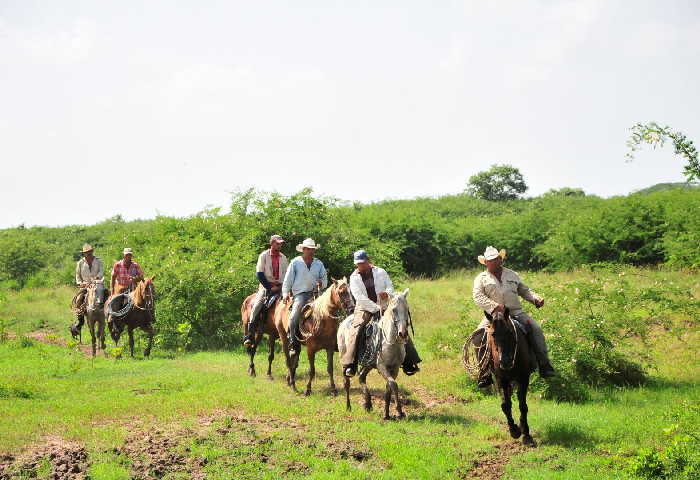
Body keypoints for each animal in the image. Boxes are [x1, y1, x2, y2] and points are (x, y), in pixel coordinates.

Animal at [340, 288, 410, 420]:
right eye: (394, 310)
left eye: (407, 309)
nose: (402, 333)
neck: (390, 342)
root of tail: (343, 322)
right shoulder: (382, 367)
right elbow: (393, 384)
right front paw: (399, 412)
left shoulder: (395, 368)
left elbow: (389, 388)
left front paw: (386, 414)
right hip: (345, 361)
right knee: (346, 383)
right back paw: (348, 406)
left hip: (368, 365)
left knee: (361, 376)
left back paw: (368, 403)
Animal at [486, 310, 536, 448]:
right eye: (493, 334)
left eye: (509, 332)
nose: (505, 361)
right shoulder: (500, 379)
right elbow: (505, 405)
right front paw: (514, 430)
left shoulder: (523, 378)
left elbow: (522, 405)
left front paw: (526, 434)